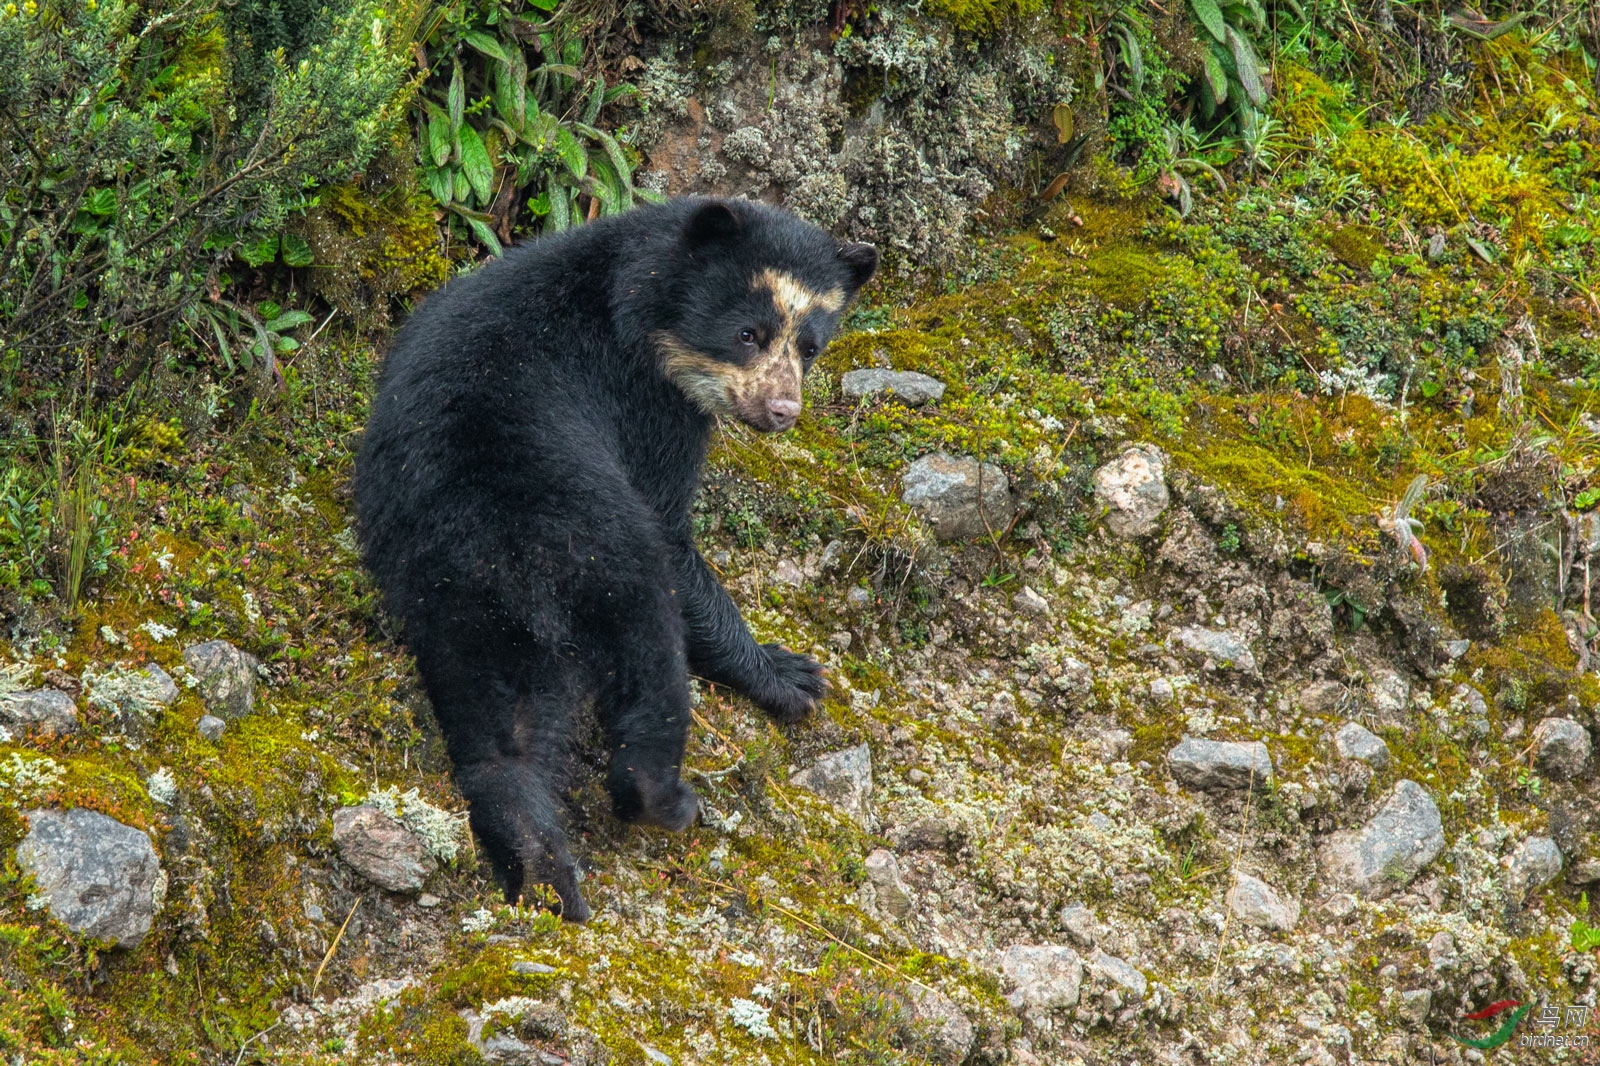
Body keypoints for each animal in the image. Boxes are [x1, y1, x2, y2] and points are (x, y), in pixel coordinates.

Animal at [355, 201, 876, 921]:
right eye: (747, 333)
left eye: (811, 346)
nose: (781, 410)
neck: (639, 298)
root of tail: (505, 550)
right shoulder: (649, 407)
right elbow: (674, 530)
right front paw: (791, 674)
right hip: (608, 570)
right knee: (651, 666)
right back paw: (663, 800)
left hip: (454, 603)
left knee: (500, 731)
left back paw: (538, 864)